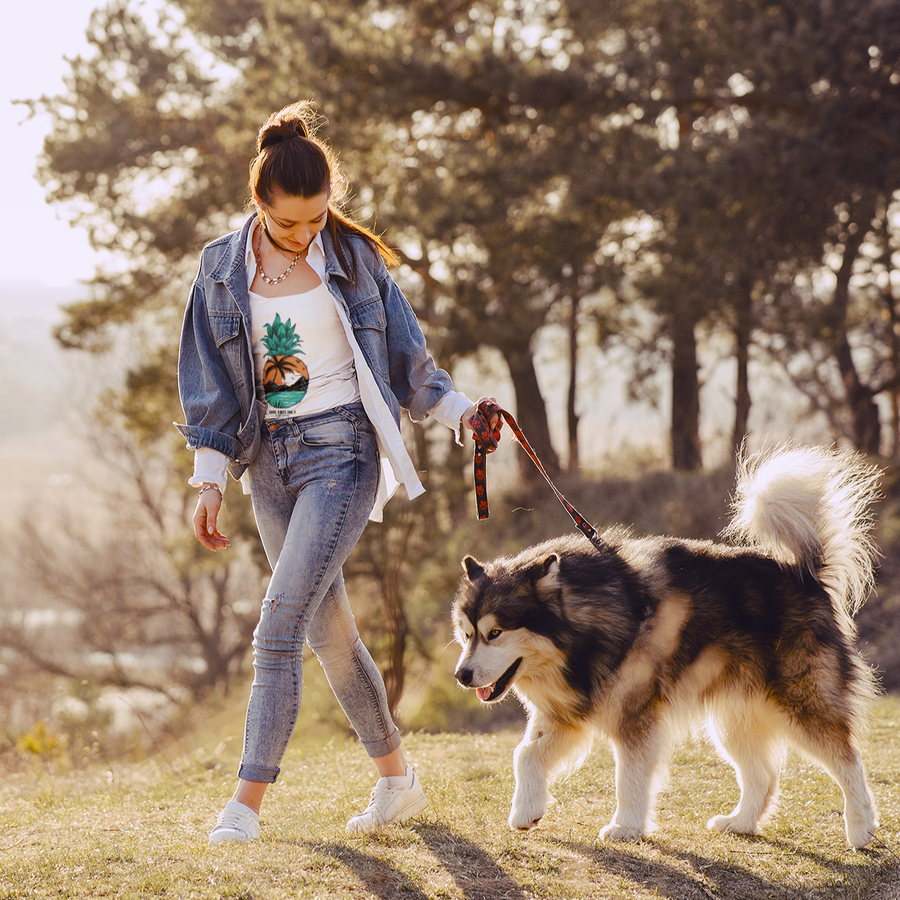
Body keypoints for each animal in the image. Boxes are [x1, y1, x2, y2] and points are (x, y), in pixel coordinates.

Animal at [454, 446, 876, 848]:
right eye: (467, 633)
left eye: (495, 632)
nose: (461, 675)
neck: (583, 633)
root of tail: (804, 575)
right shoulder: (567, 712)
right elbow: (525, 754)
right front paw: (526, 811)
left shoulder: (635, 717)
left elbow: (629, 776)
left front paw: (626, 827)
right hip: (735, 717)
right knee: (765, 775)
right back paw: (739, 823)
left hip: (801, 702)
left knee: (848, 758)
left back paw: (861, 828)